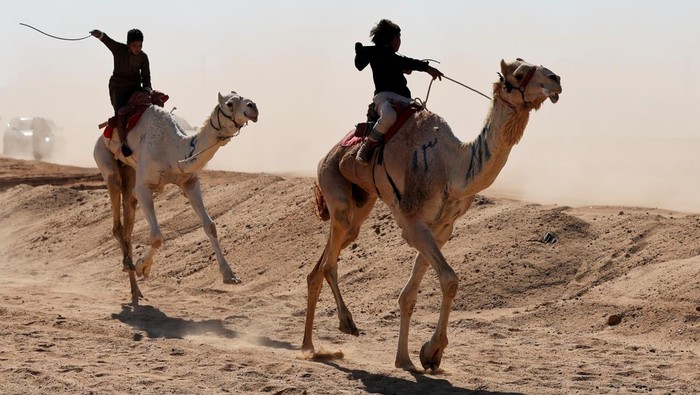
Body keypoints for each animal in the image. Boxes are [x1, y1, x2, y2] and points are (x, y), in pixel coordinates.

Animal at [91, 91, 258, 304]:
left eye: (245, 97)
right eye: (229, 104)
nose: (253, 107)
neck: (175, 148)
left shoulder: (189, 182)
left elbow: (210, 225)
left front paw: (229, 275)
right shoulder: (144, 188)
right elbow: (157, 236)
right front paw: (142, 267)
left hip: (130, 174)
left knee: (128, 225)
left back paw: (135, 290)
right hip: (105, 159)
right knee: (117, 220)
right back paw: (129, 266)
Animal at [300, 58, 564, 372]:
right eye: (521, 73)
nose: (556, 79)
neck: (453, 167)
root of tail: (325, 156)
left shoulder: (442, 228)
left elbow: (410, 296)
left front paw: (412, 357)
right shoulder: (412, 222)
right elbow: (449, 279)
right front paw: (432, 351)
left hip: (362, 201)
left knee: (325, 261)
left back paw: (321, 338)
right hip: (334, 185)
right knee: (328, 260)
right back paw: (322, 338)